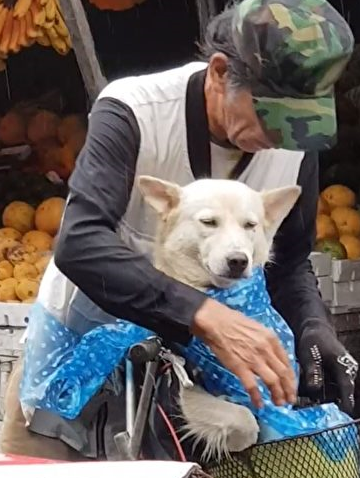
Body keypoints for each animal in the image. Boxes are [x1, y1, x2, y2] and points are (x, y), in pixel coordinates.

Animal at [138, 176, 300, 464]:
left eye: (250, 225)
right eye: (209, 222)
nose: (238, 260)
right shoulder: (186, 389)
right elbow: (246, 419)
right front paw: (237, 442)